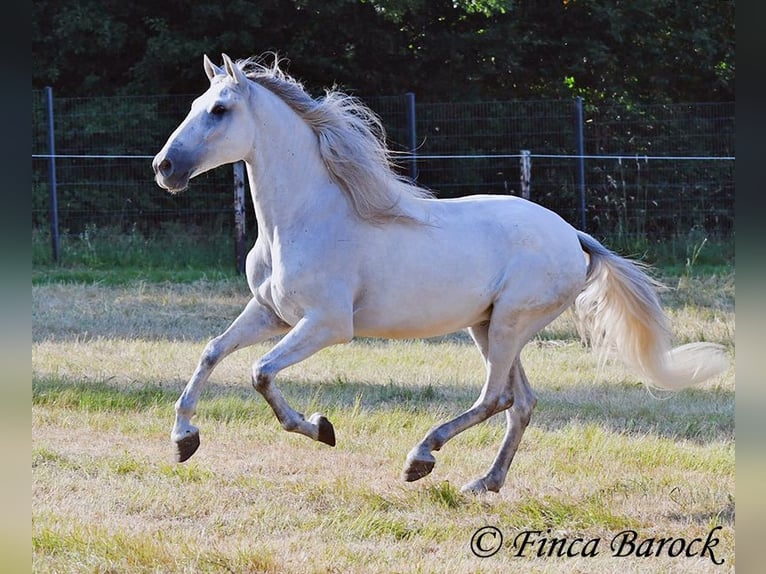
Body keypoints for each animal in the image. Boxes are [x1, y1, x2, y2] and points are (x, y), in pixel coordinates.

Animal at [152, 54, 729, 494]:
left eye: (219, 110)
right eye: (194, 106)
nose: (164, 168)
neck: (306, 218)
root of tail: (573, 236)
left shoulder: (327, 325)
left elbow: (261, 372)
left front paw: (319, 428)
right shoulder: (271, 313)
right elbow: (212, 352)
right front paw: (184, 440)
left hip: (511, 324)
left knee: (495, 398)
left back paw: (420, 459)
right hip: (488, 326)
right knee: (520, 403)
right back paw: (484, 483)